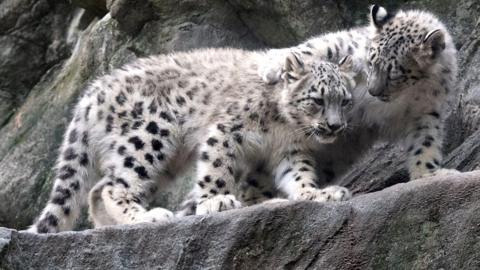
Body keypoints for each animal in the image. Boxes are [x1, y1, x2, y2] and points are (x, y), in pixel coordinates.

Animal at [26, 47, 356, 233]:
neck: (284, 127)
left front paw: (317, 193)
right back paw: (149, 217)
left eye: (345, 100)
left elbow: (299, 175)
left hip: (166, 162)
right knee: (113, 186)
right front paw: (217, 201)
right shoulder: (225, 131)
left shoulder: (289, 150)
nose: (335, 126)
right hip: (149, 136)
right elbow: (216, 168)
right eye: (317, 99)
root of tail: (91, 93)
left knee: (97, 190)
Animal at [248, 5, 458, 204]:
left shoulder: (425, 111)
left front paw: (427, 173)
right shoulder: (349, 46)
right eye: (371, 62)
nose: (373, 91)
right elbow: (321, 45)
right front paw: (270, 66)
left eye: (395, 74)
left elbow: (425, 141)